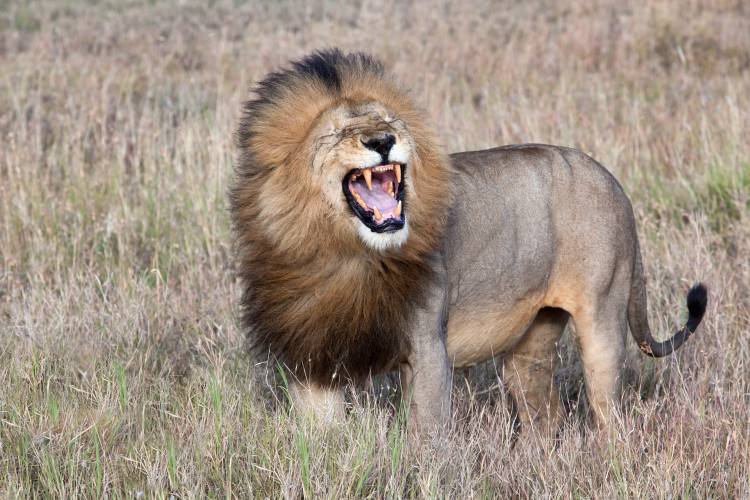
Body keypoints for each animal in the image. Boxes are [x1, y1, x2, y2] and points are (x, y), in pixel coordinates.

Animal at [230, 50, 708, 436]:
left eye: (389, 123)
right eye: (337, 132)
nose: (382, 141)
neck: (344, 251)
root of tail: (613, 181)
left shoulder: (428, 349)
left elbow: (425, 438)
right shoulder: (311, 359)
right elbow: (321, 440)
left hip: (602, 317)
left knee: (611, 414)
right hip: (531, 342)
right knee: (545, 415)